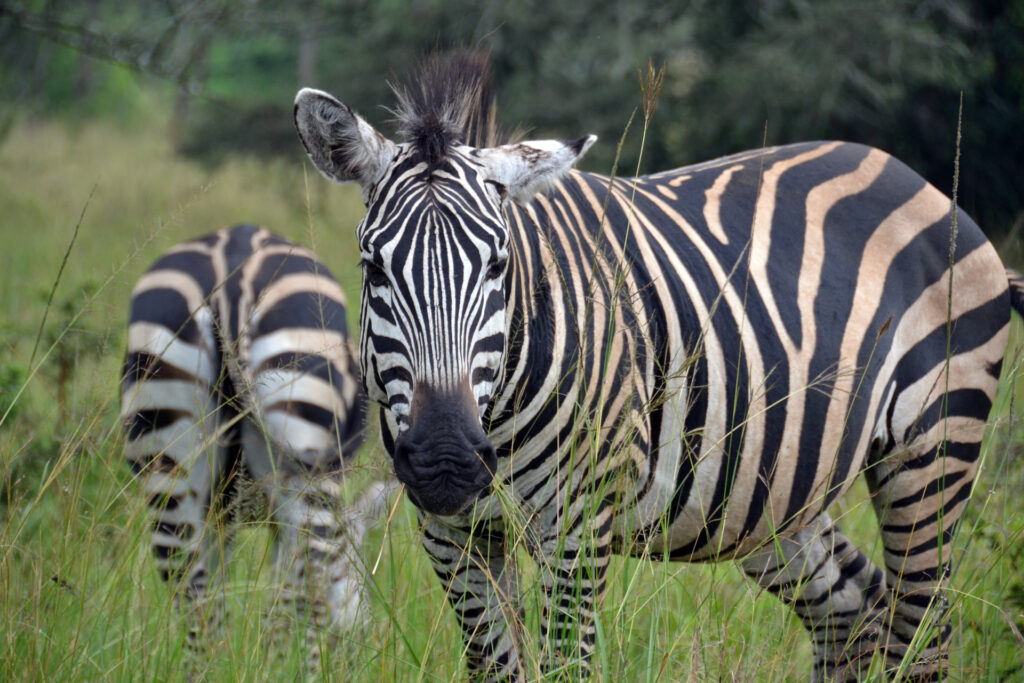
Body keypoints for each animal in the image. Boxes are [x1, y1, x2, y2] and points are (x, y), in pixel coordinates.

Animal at [117, 224, 393, 667]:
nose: (362, 641)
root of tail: (229, 274)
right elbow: (287, 603)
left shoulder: (220, 516)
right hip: (308, 463)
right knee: (303, 600)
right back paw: (288, 669)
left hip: (167, 457)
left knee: (196, 609)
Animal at [292, 56, 1019, 679]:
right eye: (373, 269)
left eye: (498, 266)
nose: (445, 460)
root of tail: (915, 178)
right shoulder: (452, 534)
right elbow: (494, 664)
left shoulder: (577, 527)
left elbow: (566, 664)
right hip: (773, 492)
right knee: (852, 613)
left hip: (932, 451)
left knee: (921, 632)